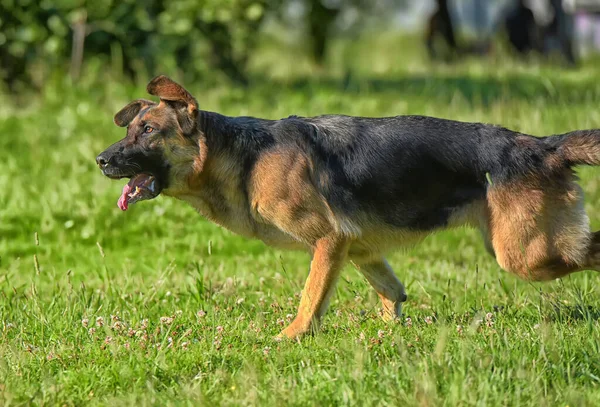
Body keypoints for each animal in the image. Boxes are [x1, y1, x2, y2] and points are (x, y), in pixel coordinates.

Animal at [97, 75, 600, 340]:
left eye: (147, 131)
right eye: (129, 130)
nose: (100, 159)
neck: (244, 156)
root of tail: (544, 146)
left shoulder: (329, 239)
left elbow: (309, 298)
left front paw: (292, 337)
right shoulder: (359, 247)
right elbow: (391, 293)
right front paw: (389, 336)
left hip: (524, 254)